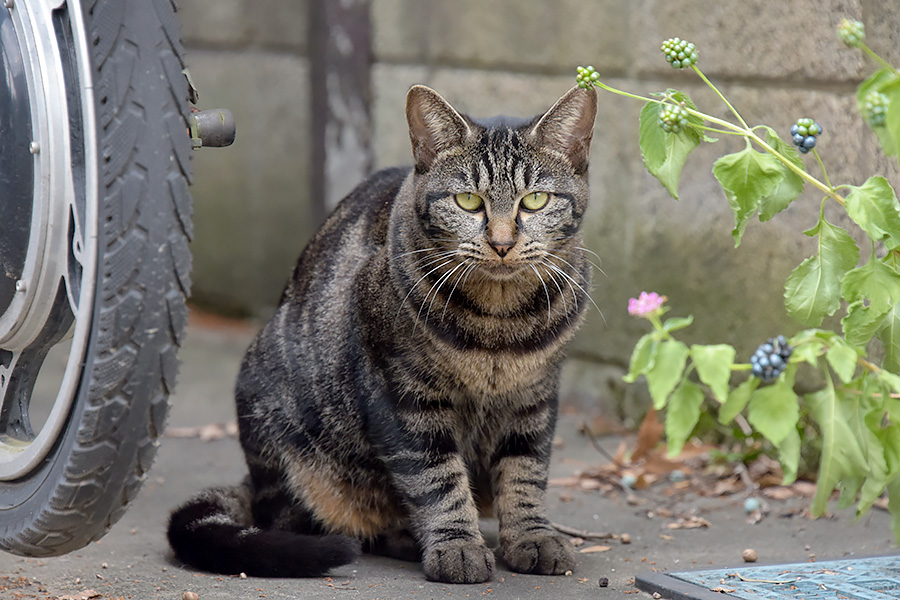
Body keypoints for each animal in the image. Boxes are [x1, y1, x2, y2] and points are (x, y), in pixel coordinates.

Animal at [171, 83, 604, 580]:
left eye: (534, 200)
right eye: (468, 201)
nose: (501, 242)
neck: (498, 322)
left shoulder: (534, 396)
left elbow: (525, 471)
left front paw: (532, 535)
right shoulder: (403, 394)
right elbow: (436, 477)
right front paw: (457, 545)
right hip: (279, 424)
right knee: (306, 519)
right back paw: (401, 536)